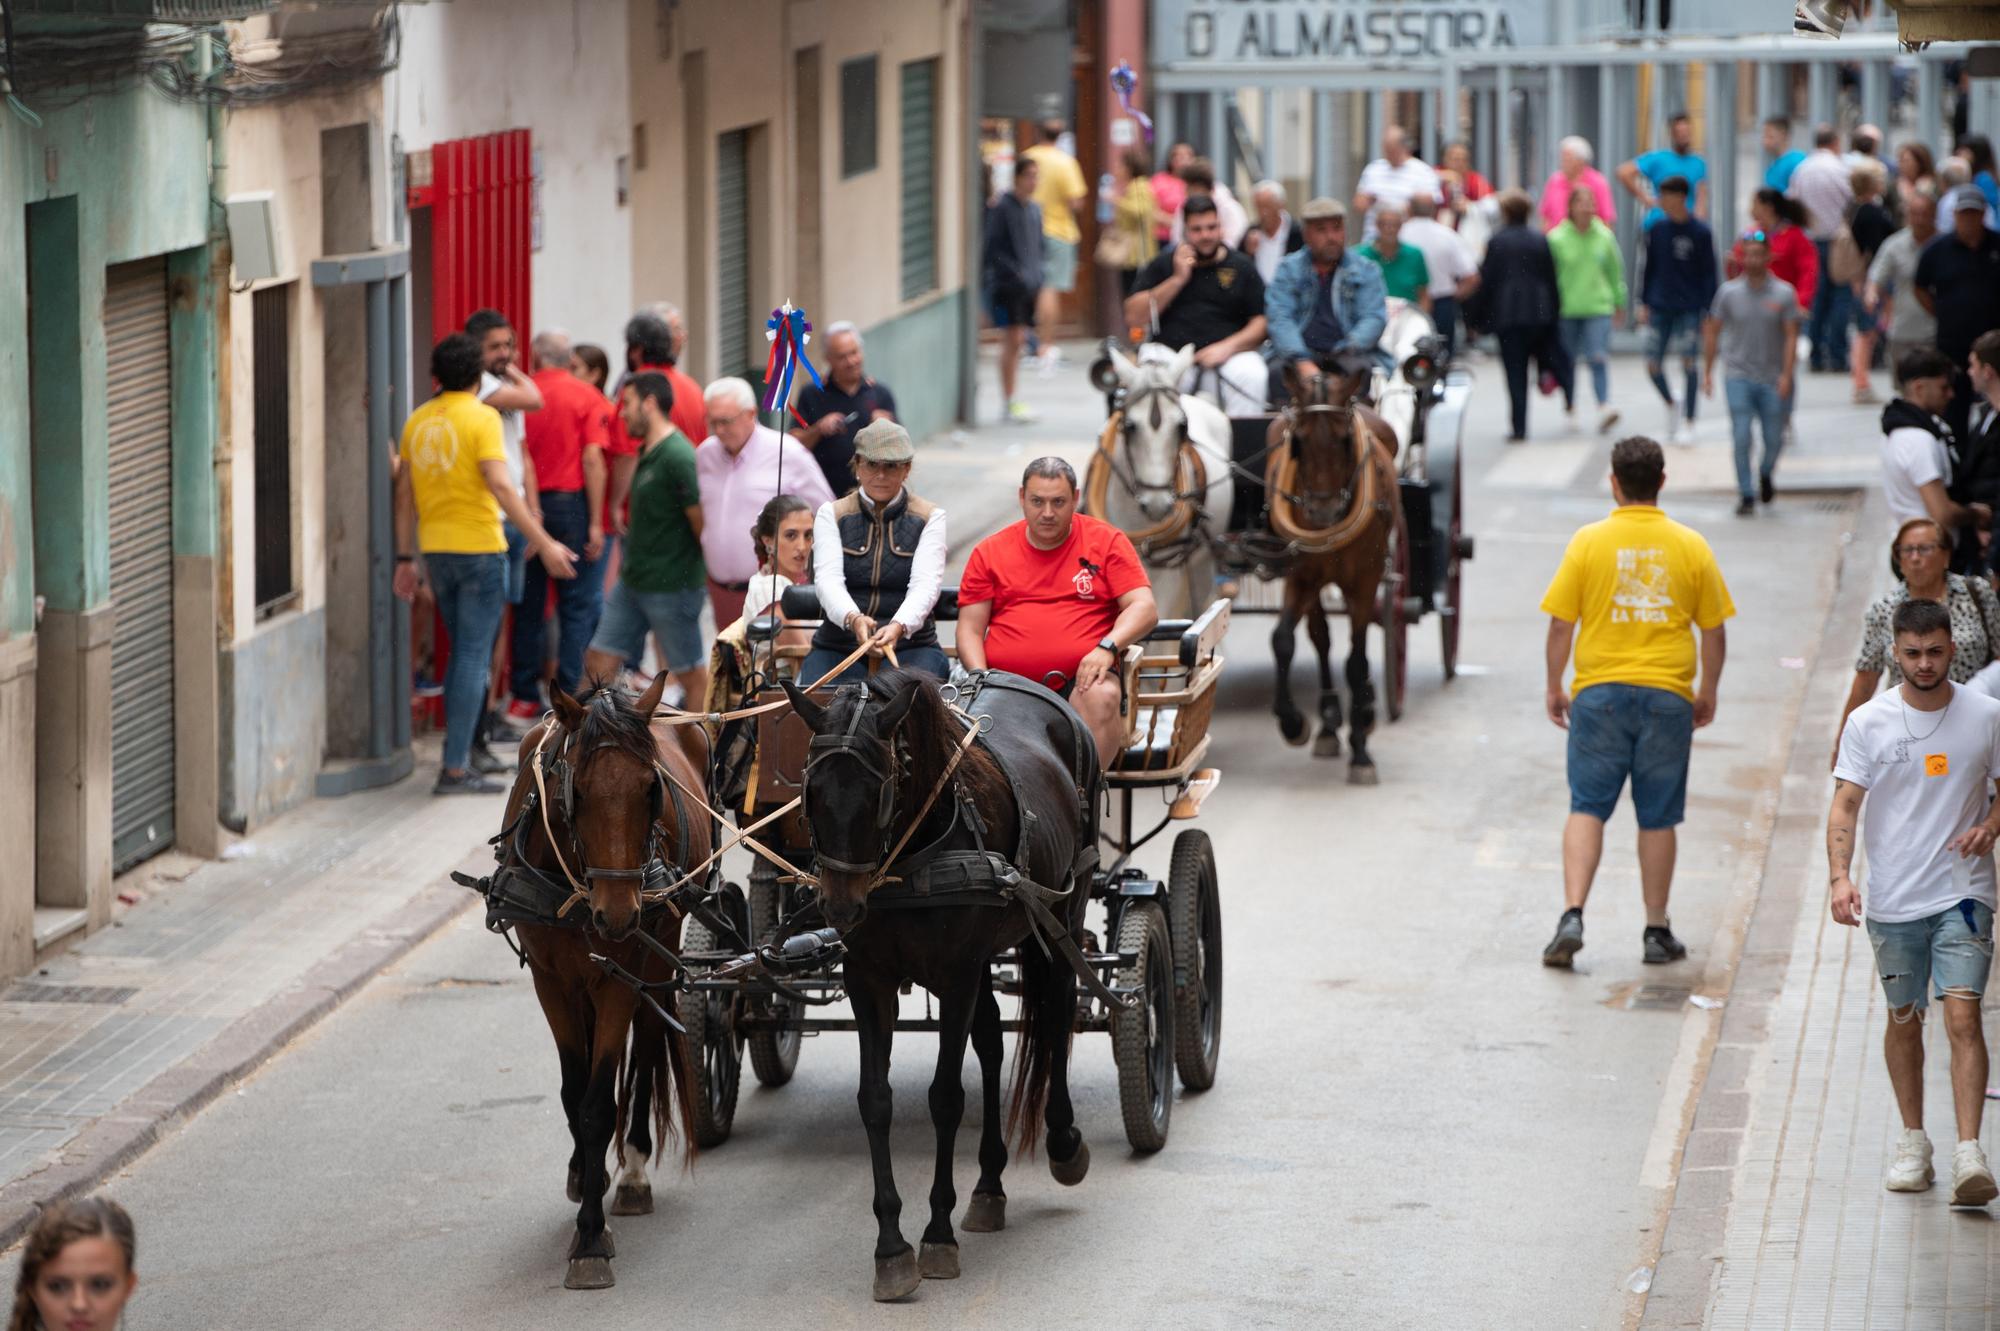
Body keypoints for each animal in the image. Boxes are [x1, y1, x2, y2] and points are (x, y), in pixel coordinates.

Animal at [504, 675, 708, 1287]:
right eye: (580, 791)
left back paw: (634, 1169)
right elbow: (575, 1097)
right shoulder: (551, 981)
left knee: (644, 1048)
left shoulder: (620, 978)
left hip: (656, 956)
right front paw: (584, 1186)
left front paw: (591, 1240)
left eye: (650, 790)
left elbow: (598, 1107)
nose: (617, 915)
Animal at [780, 663, 1104, 1295]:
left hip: (1064, 908)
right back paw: (989, 1187)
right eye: (810, 790)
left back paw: (1062, 1141)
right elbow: (875, 1099)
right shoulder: (869, 978)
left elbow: (946, 1097)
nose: (839, 906)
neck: (913, 857)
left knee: (1056, 1013)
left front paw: (936, 1233)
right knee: (993, 1044)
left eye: (880, 791)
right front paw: (890, 1246)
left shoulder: (955, 976)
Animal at [1272, 363, 1400, 779]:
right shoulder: (1300, 576)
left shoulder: (1365, 582)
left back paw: (1365, 711)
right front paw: (1292, 722)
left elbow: (1356, 661)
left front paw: (1360, 748)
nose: (1322, 513)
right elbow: (1283, 640)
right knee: (1321, 638)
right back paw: (1328, 724)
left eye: (1345, 439)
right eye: (1297, 440)